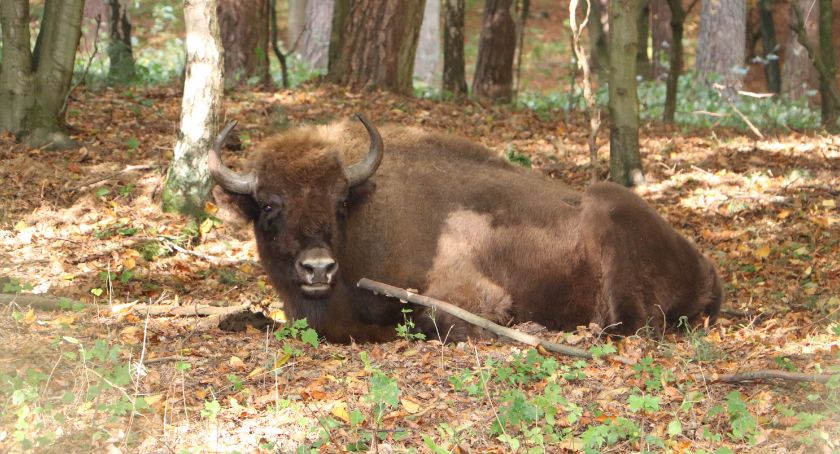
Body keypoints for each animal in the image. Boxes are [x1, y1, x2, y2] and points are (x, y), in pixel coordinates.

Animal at [210, 115, 720, 342]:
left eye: (339, 202)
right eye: (269, 204)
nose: (318, 268)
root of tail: (706, 266)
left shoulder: (472, 295)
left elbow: (430, 320)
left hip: (610, 212)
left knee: (633, 323)